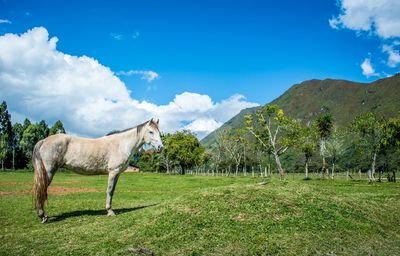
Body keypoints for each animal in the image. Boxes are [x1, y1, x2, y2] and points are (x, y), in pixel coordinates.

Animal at [31, 119, 162, 223]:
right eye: (151, 131)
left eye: (159, 132)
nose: (160, 147)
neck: (121, 144)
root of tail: (44, 140)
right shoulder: (113, 172)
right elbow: (110, 191)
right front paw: (110, 211)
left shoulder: (117, 174)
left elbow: (112, 191)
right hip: (48, 172)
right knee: (42, 190)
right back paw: (43, 216)